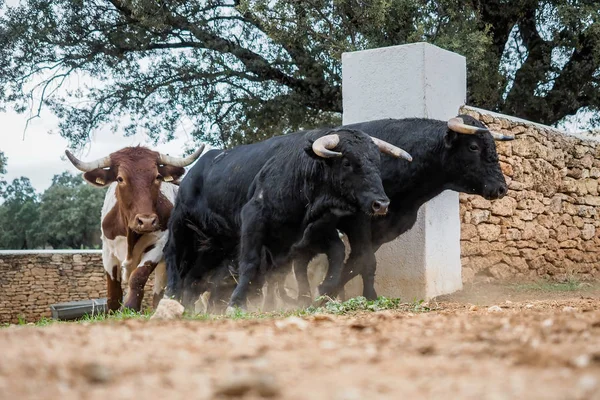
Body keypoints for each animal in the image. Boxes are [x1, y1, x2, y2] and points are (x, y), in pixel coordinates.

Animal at [66, 145, 204, 310]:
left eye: (157, 177)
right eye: (120, 179)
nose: (146, 221)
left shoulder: (159, 245)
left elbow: (138, 277)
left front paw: (131, 307)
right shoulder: (107, 251)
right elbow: (113, 292)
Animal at [162, 128, 410, 310]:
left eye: (376, 162)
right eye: (348, 162)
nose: (381, 204)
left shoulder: (304, 236)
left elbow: (341, 256)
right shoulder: (253, 216)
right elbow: (250, 263)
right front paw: (237, 303)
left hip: (217, 243)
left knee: (193, 277)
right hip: (181, 223)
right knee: (173, 256)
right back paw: (171, 297)